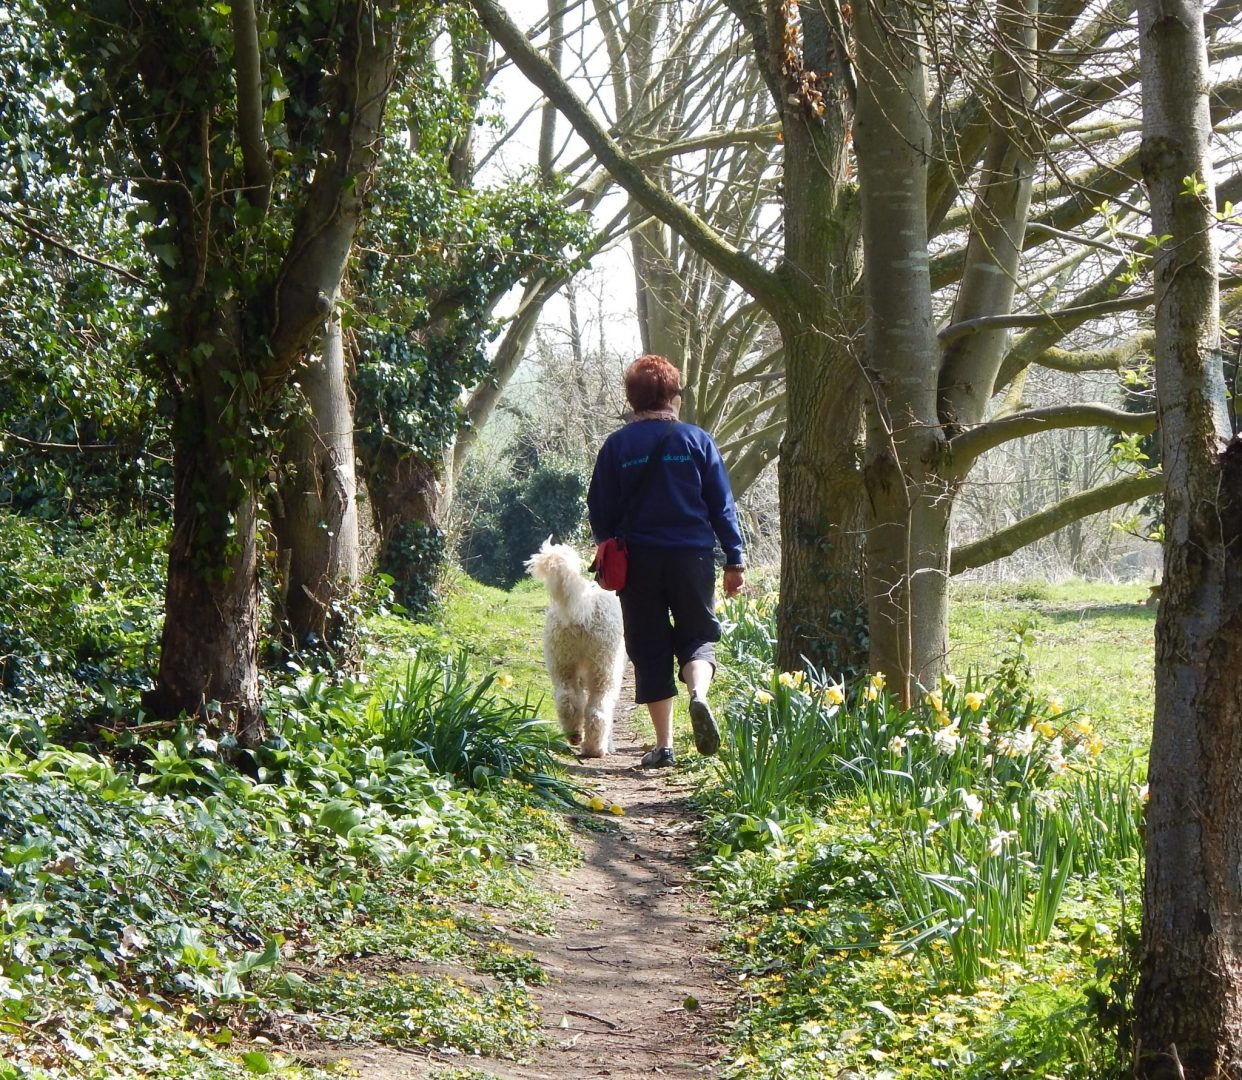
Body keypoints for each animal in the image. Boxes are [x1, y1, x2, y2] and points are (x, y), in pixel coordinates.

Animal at [524, 536, 625, 754]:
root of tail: (583, 607)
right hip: (604, 667)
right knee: (598, 709)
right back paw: (595, 748)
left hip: (561, 660)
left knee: (567, 699)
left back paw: (575, 735)